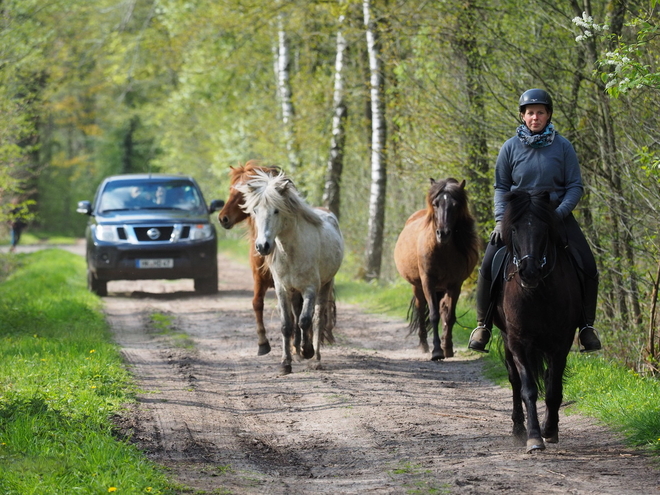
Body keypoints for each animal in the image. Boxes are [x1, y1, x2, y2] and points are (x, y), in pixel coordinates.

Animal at [219, 163, 336, 356]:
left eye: (242, 194)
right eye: (230, 189)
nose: (223, 218)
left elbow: (296, 315)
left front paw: (298, 345)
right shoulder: (261, 279)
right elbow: (257, 304)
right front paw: (262, 343)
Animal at [392, 178, 480, 360]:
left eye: (455, 205)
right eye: (435, 203)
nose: (443, 233)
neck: (442, 250)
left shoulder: (455, 285)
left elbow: (449, 316)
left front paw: (447, 348)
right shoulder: (428, 282)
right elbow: (433, 315)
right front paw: (437, 351)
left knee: (443, 310)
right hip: (418, 287)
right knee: (420, 310)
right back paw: (424, 345)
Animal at [496, 190, 584, 454]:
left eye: (544, 228)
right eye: (514, 229)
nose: (529, 271)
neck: (537, 293)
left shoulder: (561, 342)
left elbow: (553, 388)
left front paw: (550, 430)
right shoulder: (518, 342)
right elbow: (528, 389)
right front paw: (533, 437)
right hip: (506, 339)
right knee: (514, 380)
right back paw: (518, 429)